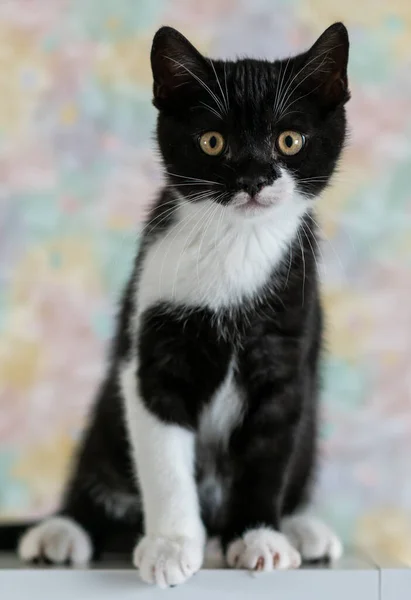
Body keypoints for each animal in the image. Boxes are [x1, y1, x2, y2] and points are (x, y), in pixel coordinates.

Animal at [12, 22, 350, 584]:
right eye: (212, 142)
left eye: (289, 140)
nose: (253, 179)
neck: (236, 244)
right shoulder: (152, 356)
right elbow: (165, 460)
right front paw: (171, 545)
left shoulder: (287, 350)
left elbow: (269, 455)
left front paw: (258, 536)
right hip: (106, 418)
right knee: (95, 481)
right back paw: (62, 530)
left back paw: (300, 528)